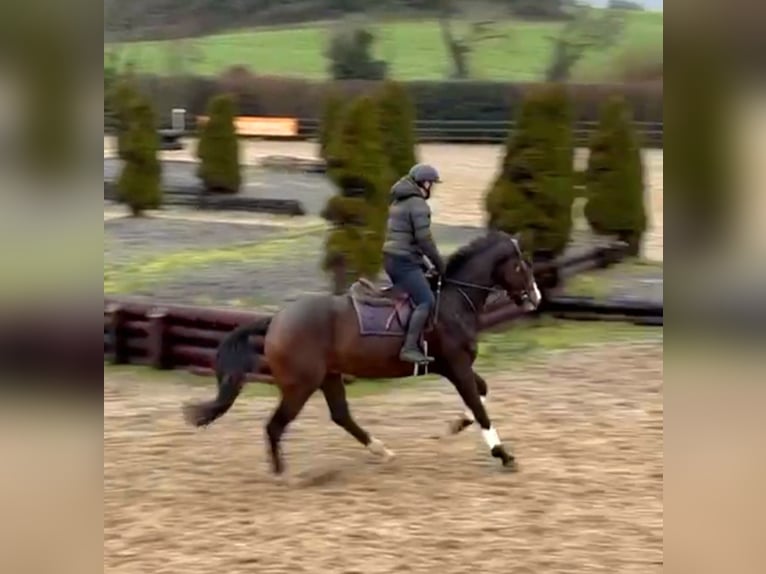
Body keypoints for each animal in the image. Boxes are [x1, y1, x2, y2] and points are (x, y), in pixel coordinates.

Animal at [182, 229, 542, 474]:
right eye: (521, 266)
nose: (536, 298)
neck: (454, 301)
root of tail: (276, 319)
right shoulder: (456, 366)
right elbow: (479, 406)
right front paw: (504, 454)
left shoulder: (456, 367)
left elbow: (481, 393)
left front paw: (456, 425)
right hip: (301, 386)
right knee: (276, 426)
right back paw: (283, 473)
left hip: (328, 376)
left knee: (341, 416)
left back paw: (380, 450)